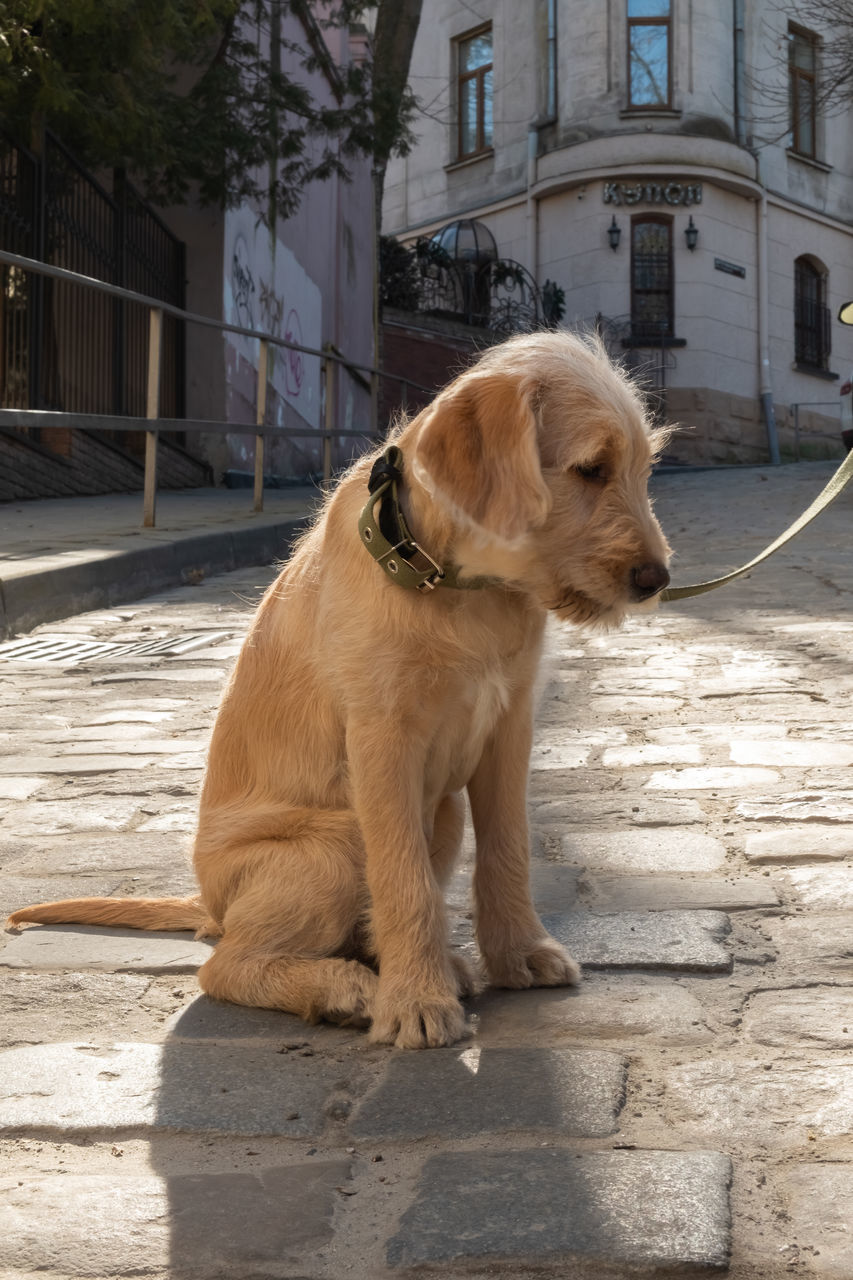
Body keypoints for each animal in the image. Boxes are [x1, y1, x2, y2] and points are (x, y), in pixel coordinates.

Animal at [8, 332, 671, 1049]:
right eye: (590, 469)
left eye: (641, 469)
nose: (657, 579)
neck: (452, 584)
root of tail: (210, 904)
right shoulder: (382, 739)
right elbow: (403, 877)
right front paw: (415, 1003)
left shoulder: (508, 729)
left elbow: (507, 848)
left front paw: (518, 953)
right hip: (329, 846)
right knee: (225, 966)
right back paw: (347, 988)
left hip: (440, 815)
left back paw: (425, 967)